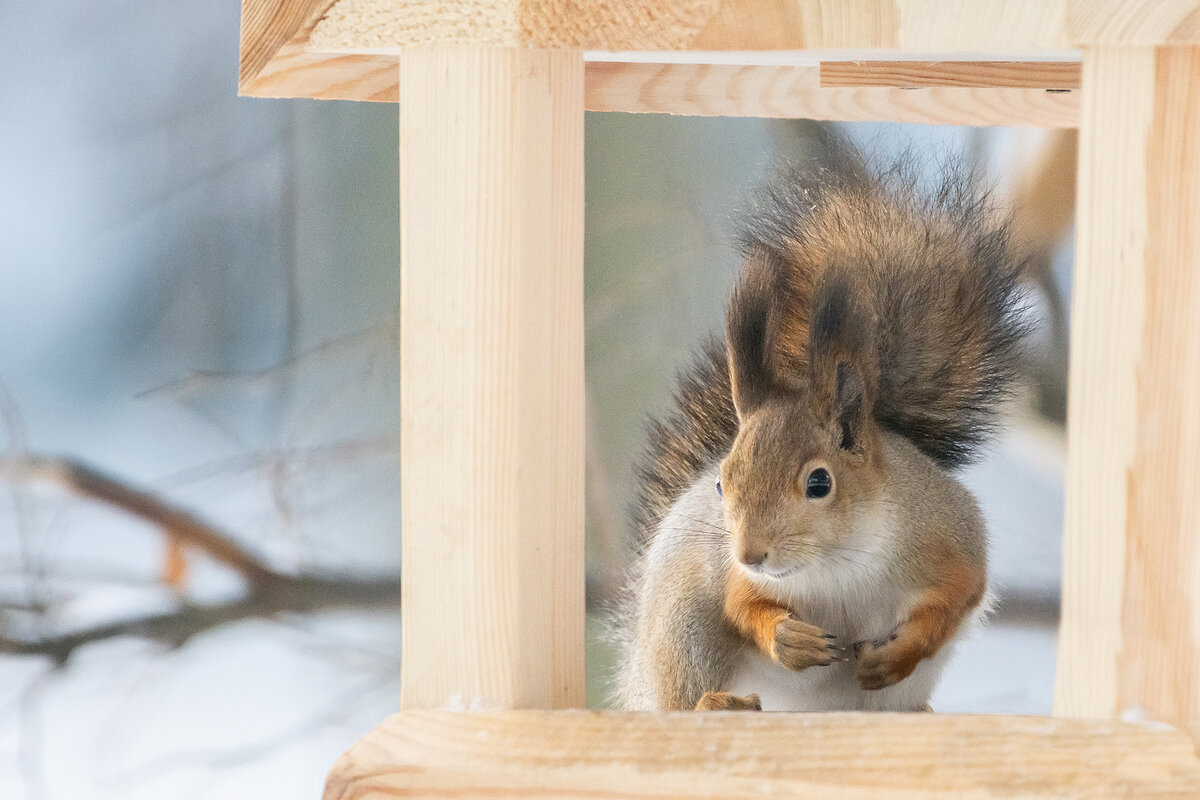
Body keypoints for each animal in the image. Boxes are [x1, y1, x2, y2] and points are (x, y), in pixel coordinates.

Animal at [614, 139, 1027, 714]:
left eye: (819, 483)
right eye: (721, 483)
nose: (751, 554)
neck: (835, 563)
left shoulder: (948, 537)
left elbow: (955, 598)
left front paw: (895, 656)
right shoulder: (738, 581)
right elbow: (742, 604)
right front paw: (789, 640)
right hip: (685, 629)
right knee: (680, 695)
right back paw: (716, 703)